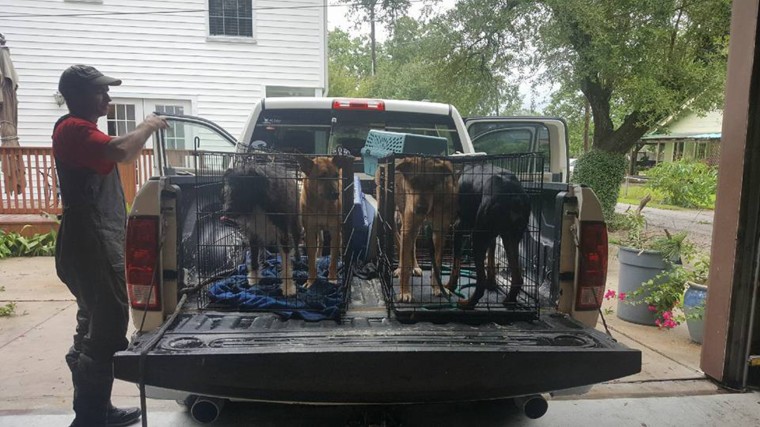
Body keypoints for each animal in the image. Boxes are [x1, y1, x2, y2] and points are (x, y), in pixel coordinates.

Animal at [221, 161, 302, 298]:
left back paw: (298, 258)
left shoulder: (283, 233)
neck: (258, 205)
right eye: (228, 191)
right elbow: (253, 257)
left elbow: (286, 262)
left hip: (295, 223)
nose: (225, 211)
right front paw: (254, 278)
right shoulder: (252, 234)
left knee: (296, 242)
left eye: (242, 191)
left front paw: (288, 287)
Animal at [296, 156, 356, 288]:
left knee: (340, 243)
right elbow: (311, 260)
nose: (336, 194)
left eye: (335, 175)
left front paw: (332, 278)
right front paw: (311, 280)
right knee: (321, 240)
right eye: (321, 176)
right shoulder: (310, 231)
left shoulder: (335, 231)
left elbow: (333, 259)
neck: (321, 204)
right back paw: (318, 256)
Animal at [386, 158, 458, 304]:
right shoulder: (408, 227)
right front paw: (404, 292)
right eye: (413, 182)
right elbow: (404, 258)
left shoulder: (440, 232)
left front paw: (438, 288)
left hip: (415, 227)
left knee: (411, 245)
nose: (420, 208)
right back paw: (400, 269)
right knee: (400, 243)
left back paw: (415, 266)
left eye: (432, 183)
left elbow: (437, 263)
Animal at [442, 163, 532, 308]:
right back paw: (509, 300)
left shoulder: (459, 227)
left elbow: (456, 262)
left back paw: (468, 303)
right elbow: (491, 255)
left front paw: (450, 285)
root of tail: (513, 195)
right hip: (510, 237)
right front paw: (492, 282)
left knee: (481, 282)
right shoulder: (491, 236)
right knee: (517, 277)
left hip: (477, 237)